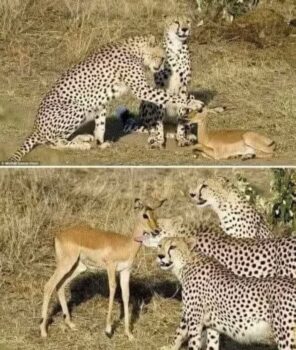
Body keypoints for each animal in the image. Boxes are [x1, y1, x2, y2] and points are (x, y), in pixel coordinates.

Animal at [7, 35, 204, 161]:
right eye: (160, 57)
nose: (161, 66)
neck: (135, 50)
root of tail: (35, 127)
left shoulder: (100, 101)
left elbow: (100, 125)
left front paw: (100, 143)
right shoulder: (142, 89)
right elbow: (168, 96)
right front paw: (194, 102)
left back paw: (81, 139)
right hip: (77, 107)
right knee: (52, 141)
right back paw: (79, 145)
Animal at [39, 198, 164, 340]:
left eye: (155, 214)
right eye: (145, 215)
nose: (157, 230)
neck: (126, 245)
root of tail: (58, 236)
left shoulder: (125, 271)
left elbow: (126, 295)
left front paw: (129, 334)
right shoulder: (110, 267)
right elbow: (113, 289)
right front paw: (108, 330)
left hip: (78, 267)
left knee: (59, 286)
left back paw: (70, 324)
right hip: (66, 264)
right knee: (49, 286)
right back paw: (43, 331)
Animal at [158, 238, 296, 350]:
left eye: (173, 247)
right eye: (160, 245)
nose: (160, 256)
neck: (186, 264)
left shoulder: (195, 322)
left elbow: (189, 340)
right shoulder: (212, 326)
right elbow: (212, 346)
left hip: (286, 338)